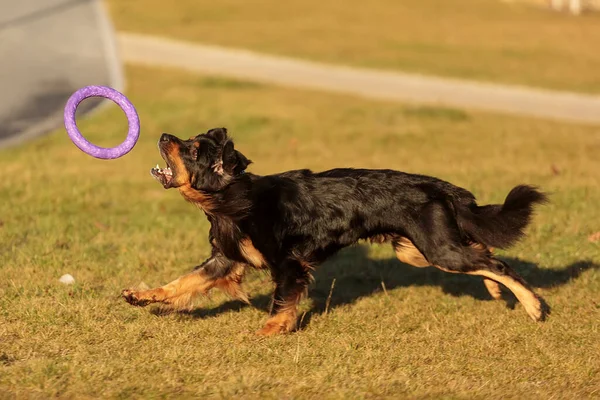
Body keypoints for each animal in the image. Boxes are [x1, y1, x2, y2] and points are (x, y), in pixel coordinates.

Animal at [122, 128, 548, 334]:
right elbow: (181, 282)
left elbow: (280, 304)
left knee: (498, 263)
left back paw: (533, 306)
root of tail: (437, 185)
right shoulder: (225, 260)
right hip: (416, 249)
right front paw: (141, 296)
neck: (234, 197)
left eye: (192, 150)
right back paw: (497, 291)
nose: (163, 134)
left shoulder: (288, 265)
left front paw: (268, 333)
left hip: (435, 250)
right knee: (483, 252)